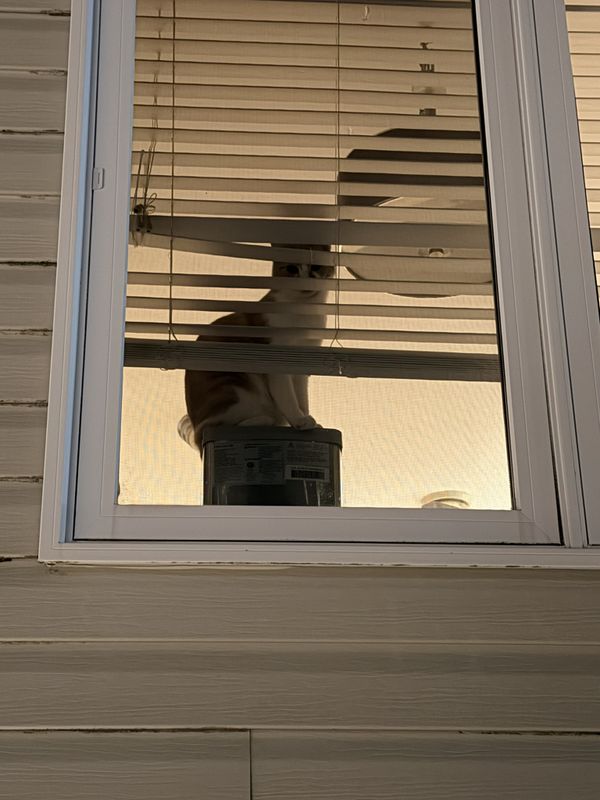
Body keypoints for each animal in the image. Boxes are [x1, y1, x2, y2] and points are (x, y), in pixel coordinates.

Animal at [178, 245, 334, 452]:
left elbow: (302, 398)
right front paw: (299, 420)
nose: (305, 280)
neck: (306, 313)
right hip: (235, 387)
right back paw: (265, 420)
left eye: (316, 266)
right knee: (219, 426)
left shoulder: (303, 368)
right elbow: (288, 398)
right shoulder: (278, 366)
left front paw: (308, 420)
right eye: (292, 269)